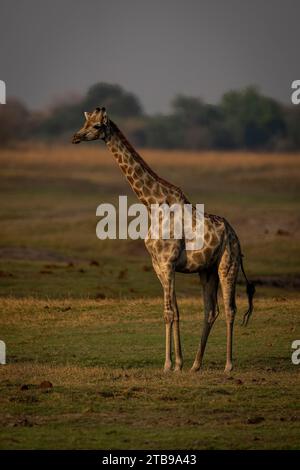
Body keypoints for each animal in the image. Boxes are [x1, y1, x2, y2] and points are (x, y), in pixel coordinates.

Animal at [71, 108, 254, 372]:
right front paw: (178, 363)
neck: (153, 205)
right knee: (211, 310)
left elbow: (169, 312)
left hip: (227, 264)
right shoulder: (159, 265)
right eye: (84, 122)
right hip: (206, 270)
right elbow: (173, 311)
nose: (75, 137)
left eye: (96, 126)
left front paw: (168, 364)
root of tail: (234, 234)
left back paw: (228, 366)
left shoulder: (168, 263)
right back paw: (196, 365)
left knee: (230, 309)